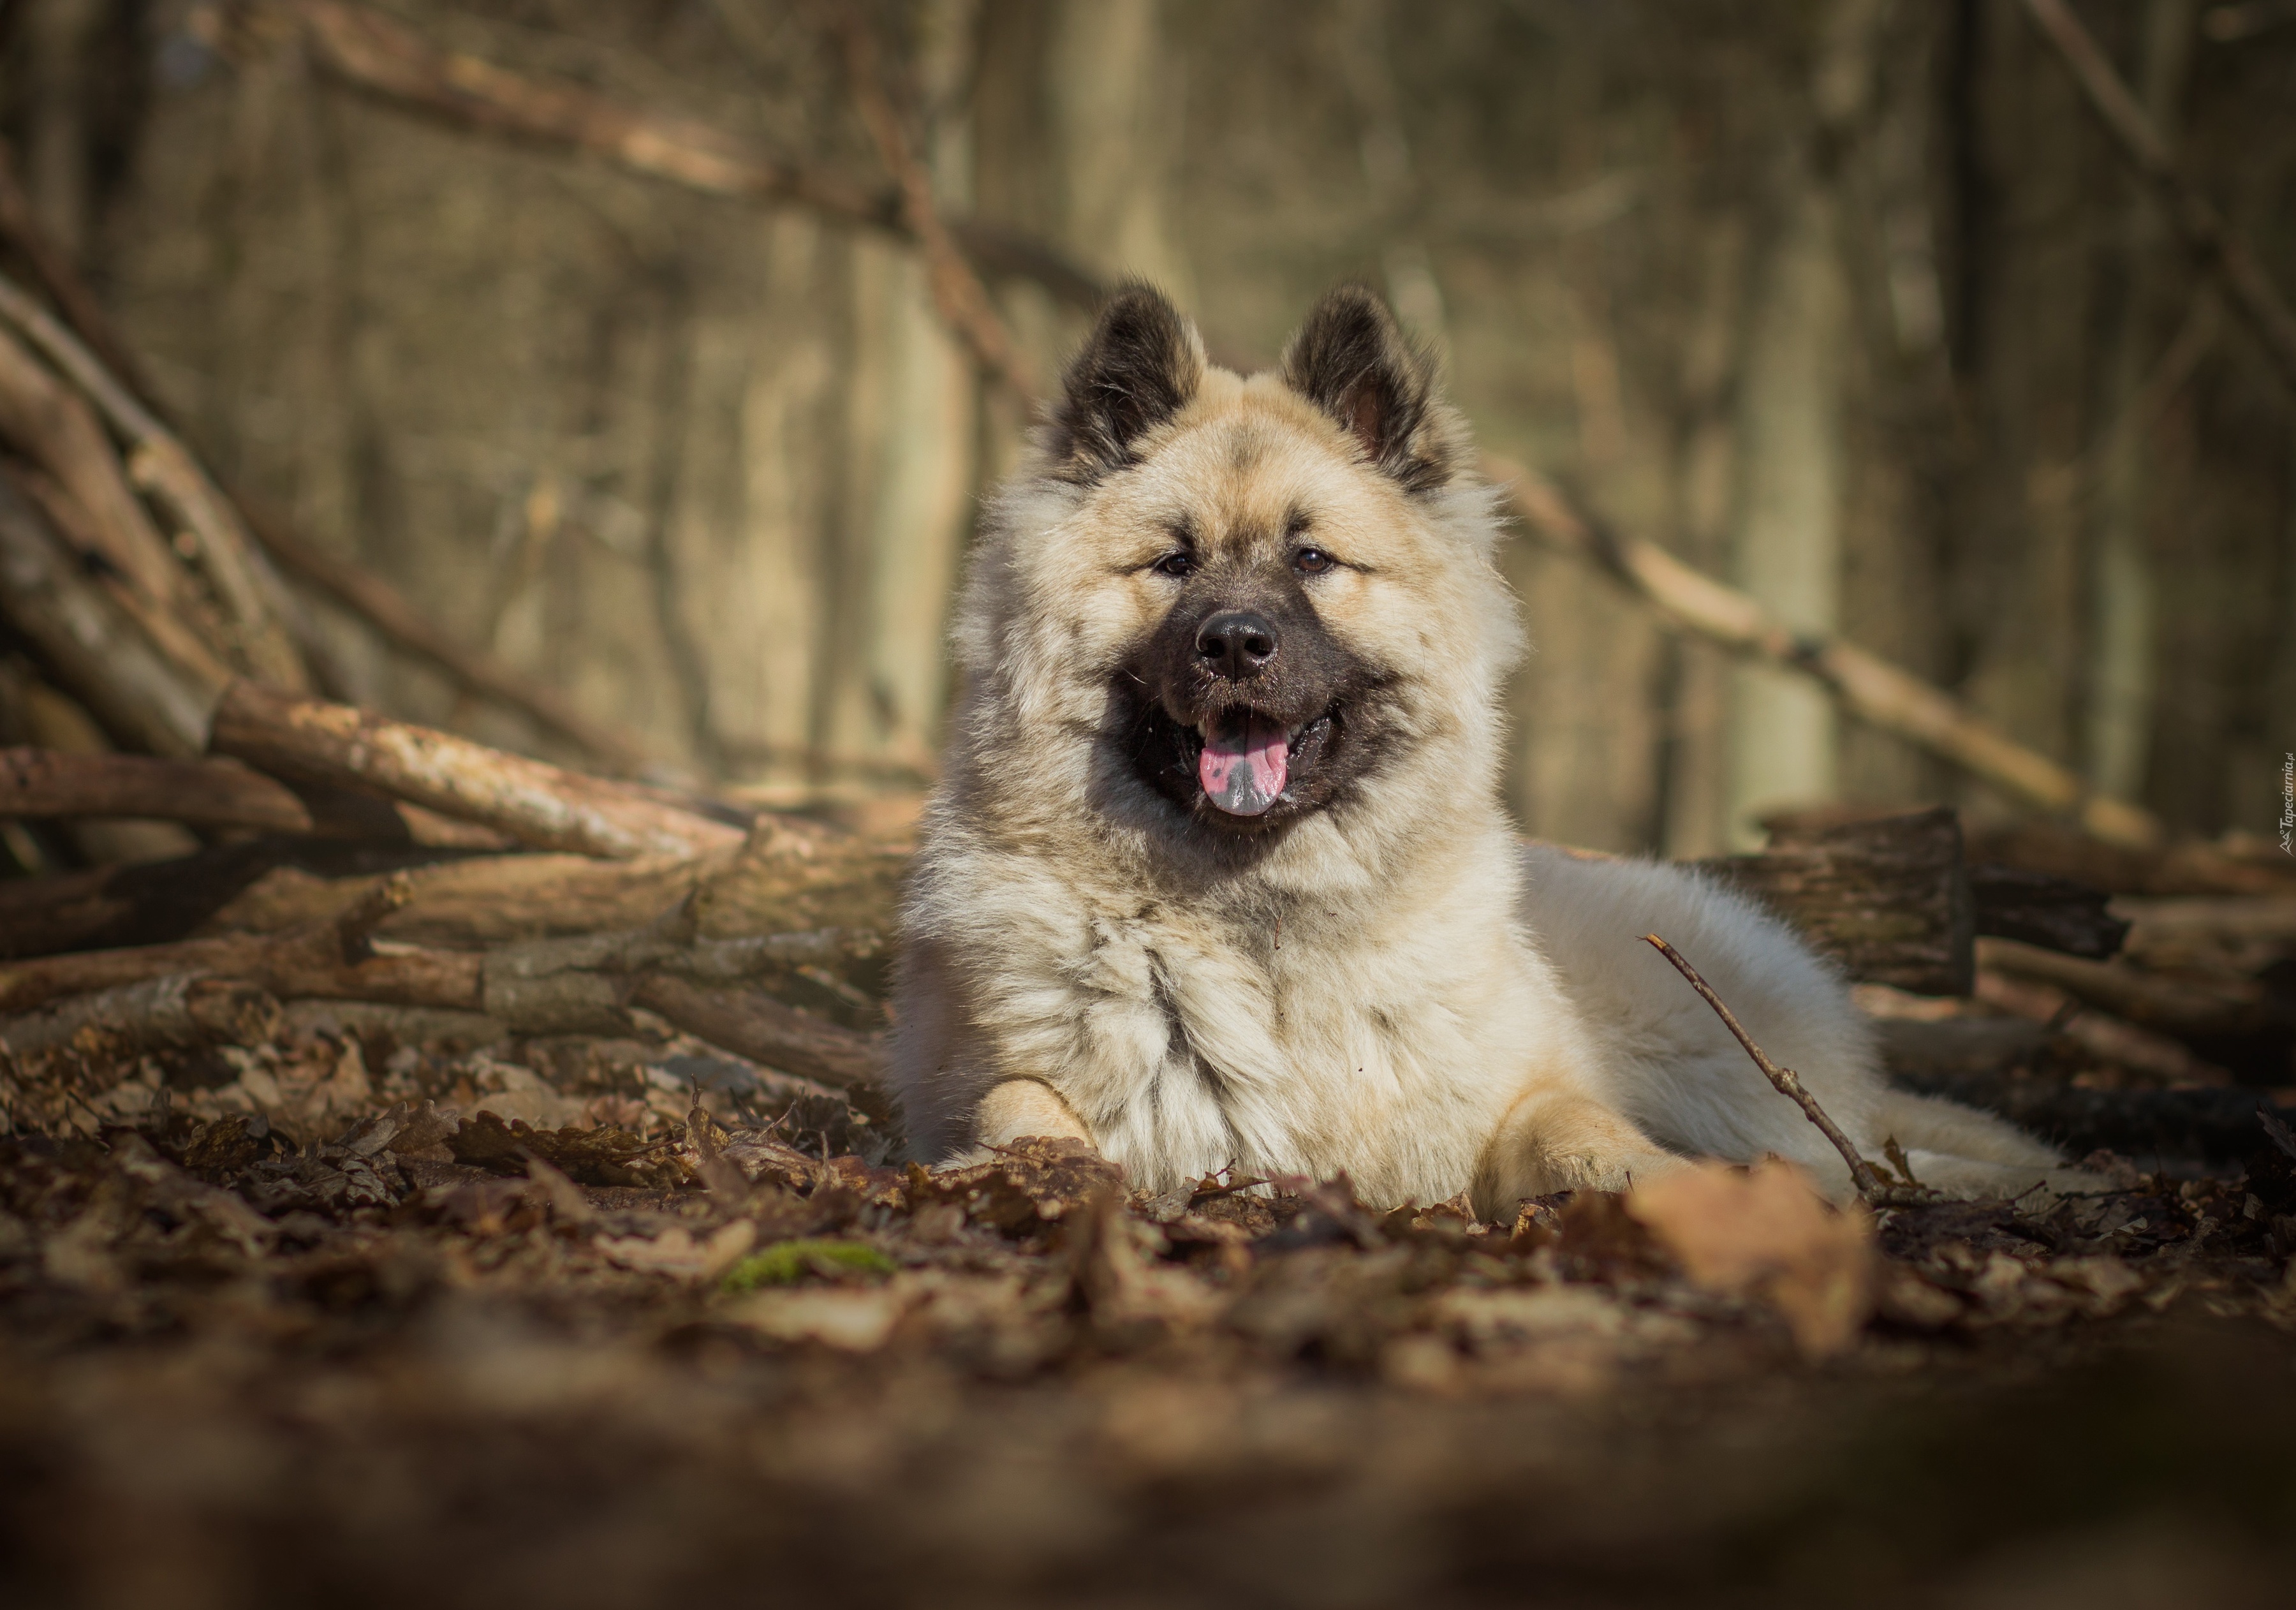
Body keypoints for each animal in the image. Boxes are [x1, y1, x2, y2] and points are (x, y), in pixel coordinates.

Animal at [895, 289, 2084, 1213]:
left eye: (1314, 559)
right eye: (1172, 562)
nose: (1235, 643)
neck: (1261, 922)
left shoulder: (1525, 1092)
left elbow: (1579, 1130)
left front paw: (1669, 1188)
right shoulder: (1001, 1080)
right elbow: (1020, 1103)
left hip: (1726, 1068)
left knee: (1846, 1143)